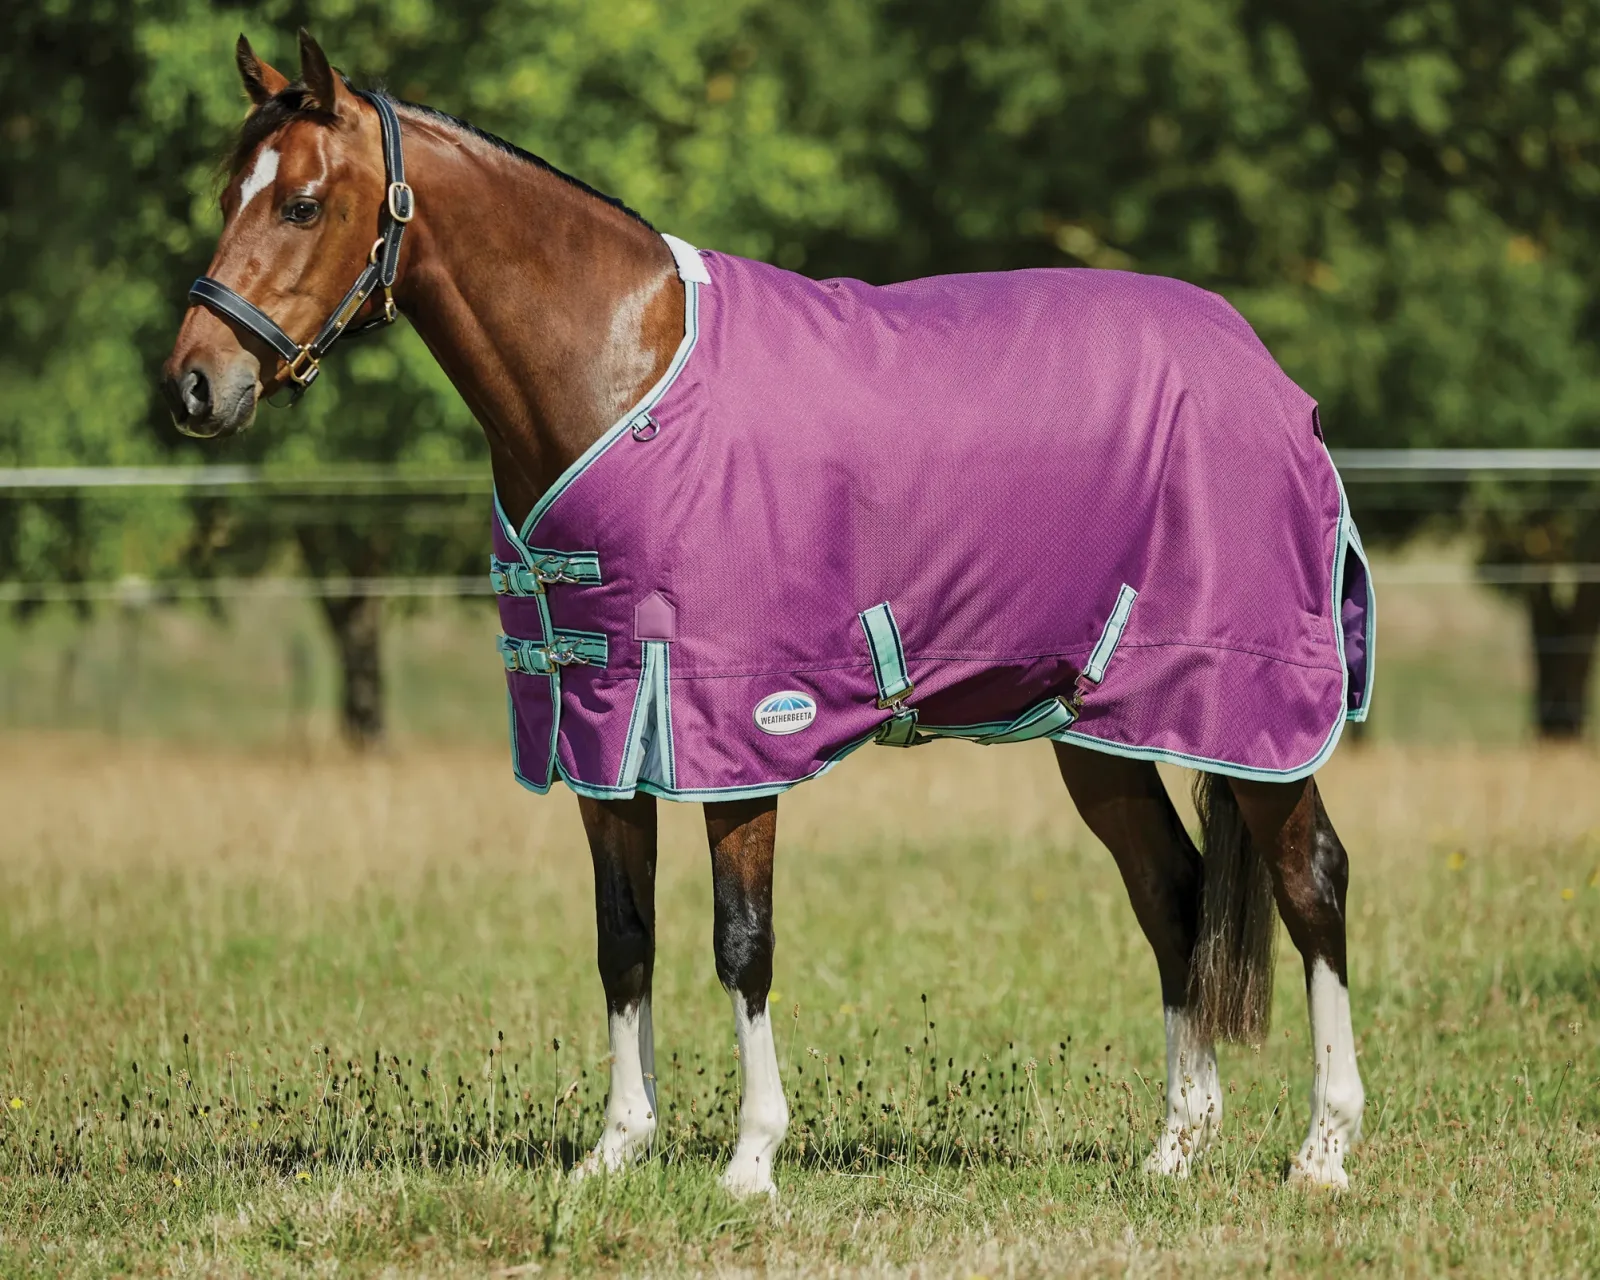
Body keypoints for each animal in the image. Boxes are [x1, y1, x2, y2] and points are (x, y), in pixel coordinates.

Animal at [162, 30, 1369, 1197]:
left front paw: (751, 1158)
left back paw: (1322, 1148)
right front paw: (617, 1146)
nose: (194, 385)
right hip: (1099, 727)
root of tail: (1267, 375)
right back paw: (1176, 1143)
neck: (620, 374)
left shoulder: (732, 726)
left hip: (1254, 708)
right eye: (226, 192)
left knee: (1310, 880)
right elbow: (623, 937)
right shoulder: (606, 725)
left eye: (301, 202)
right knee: (1172, 892)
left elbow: (742, 941)